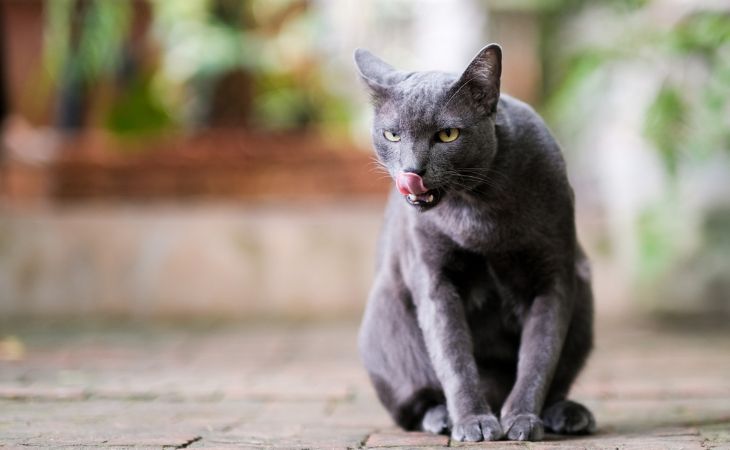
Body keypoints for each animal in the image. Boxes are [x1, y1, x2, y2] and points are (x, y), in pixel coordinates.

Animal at [354, 44, 596, 442]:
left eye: (448, 134)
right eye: (392, 136)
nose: (412, 171)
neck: (478, 208)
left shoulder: (554, 274)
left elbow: (539, 355)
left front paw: (522, 419)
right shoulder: (433, 278)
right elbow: (453, 357)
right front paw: (473, 422)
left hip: (584, 298)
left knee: (557, 381)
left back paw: (567, 414)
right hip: (384, 319)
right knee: (414, 403)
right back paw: (442, 417)